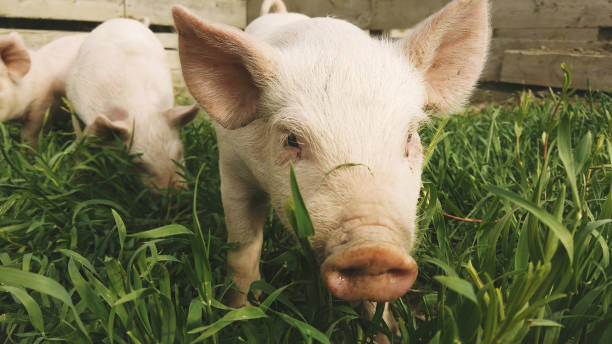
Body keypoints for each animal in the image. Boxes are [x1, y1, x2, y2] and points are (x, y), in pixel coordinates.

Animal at [67, 18, 201, 191]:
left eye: (180, 152)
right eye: (138, 164)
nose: (178, 194)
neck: (139, 109)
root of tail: (124, 20)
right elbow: (81, 139)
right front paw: (77, 179)